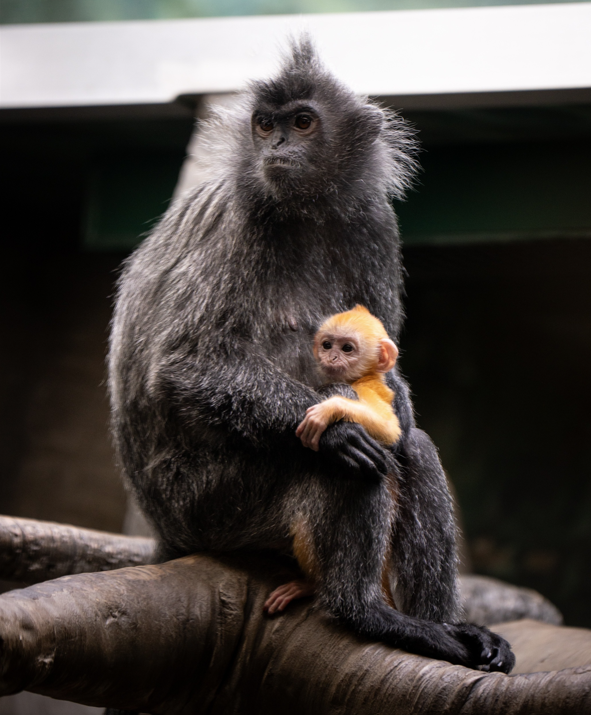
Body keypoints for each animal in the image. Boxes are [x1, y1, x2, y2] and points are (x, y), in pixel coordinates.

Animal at [108, 37, 514, 673]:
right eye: (264, 124)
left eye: (302, 122)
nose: (275, 145)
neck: (302, 211)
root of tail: (167, 533)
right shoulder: (236, 220)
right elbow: (184, 363)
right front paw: (340, 430)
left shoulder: (373, 222)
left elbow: (392, 383)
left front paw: (395, 411)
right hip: (211, 504)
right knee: (342, 460)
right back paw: (362, 609)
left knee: (412, 450)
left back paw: (444, 627)